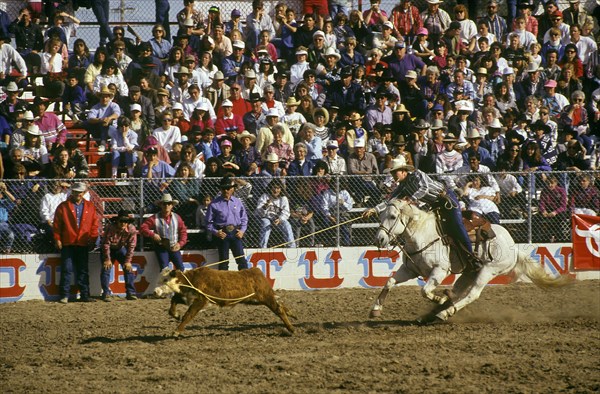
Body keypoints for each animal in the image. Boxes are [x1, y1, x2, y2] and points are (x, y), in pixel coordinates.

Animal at [155, 268, 296, 336]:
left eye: (165, 279)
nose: (155, 291)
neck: (191, 280)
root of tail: (256, 272)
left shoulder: (200, 301)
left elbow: (188, 315)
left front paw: (176, 331)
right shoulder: (187, 297)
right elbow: (173, 301)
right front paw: (175, 315)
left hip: (265, 297)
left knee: (278, 309)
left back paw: (291, 329)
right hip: (254, 300)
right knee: (280, 305)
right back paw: (291, 314)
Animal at [370, 200, 572, 324]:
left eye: (392, 217)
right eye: (380, 216)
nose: (379, 239)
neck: (423, 234)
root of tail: (513, 246)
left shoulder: (439, 270)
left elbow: (425, 291)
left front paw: (440, 298)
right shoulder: (409, 270)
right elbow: (389, 281)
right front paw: (376, 309)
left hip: (488, 271)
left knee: (472, 294)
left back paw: (443, 312)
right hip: (469, 272)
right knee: (459, 292)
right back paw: (435, 312)